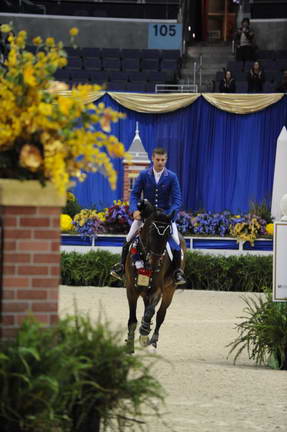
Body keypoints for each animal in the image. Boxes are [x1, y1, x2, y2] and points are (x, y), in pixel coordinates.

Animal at [124, 204, 187, 352]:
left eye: (168, 234)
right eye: (151, 231)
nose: (154, 262)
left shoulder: (157, 290)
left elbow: (150, 312)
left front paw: (144, 333)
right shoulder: (131, 290)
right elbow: (132, 320)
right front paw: (130, 346)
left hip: (170, 290)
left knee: (160, 314)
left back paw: (153, 340)